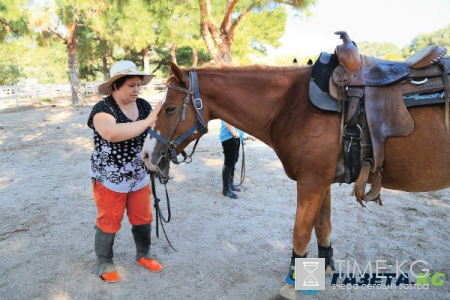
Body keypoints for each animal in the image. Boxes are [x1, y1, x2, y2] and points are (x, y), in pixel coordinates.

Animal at [142, 60, 450, 298]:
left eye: (170, 109)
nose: (146, 155)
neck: (292, 104)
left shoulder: (311, 181)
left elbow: (301, 233)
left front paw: (293, 282)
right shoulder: (322, 181)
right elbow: (323, 226)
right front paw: (324, 267)